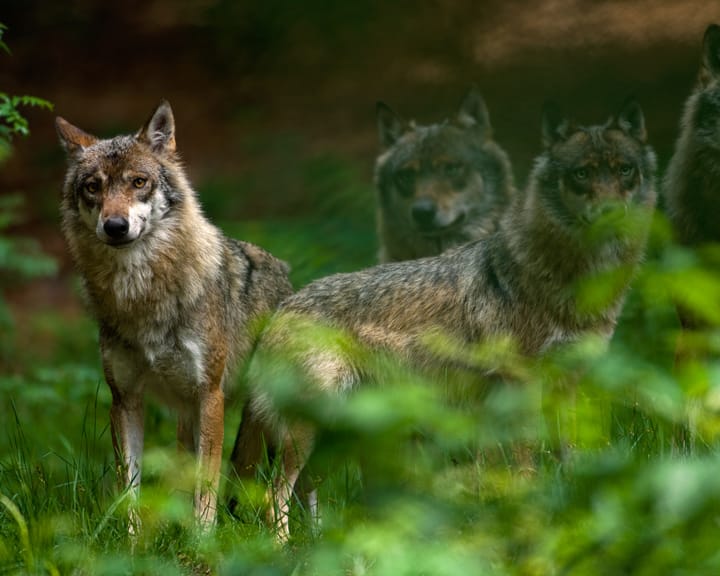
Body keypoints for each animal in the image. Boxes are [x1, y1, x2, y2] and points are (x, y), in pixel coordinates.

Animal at [56, 101, 293, 532]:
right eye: (93, 187)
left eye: (138, 182)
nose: (115, 226)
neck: (142, 295)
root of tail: (285, 274)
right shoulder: (125, 399)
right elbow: (130, 487)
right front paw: (133, 541)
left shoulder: (210, 395)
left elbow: (208, 485)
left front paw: (203, 540)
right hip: (187, 416)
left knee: (283, 486)